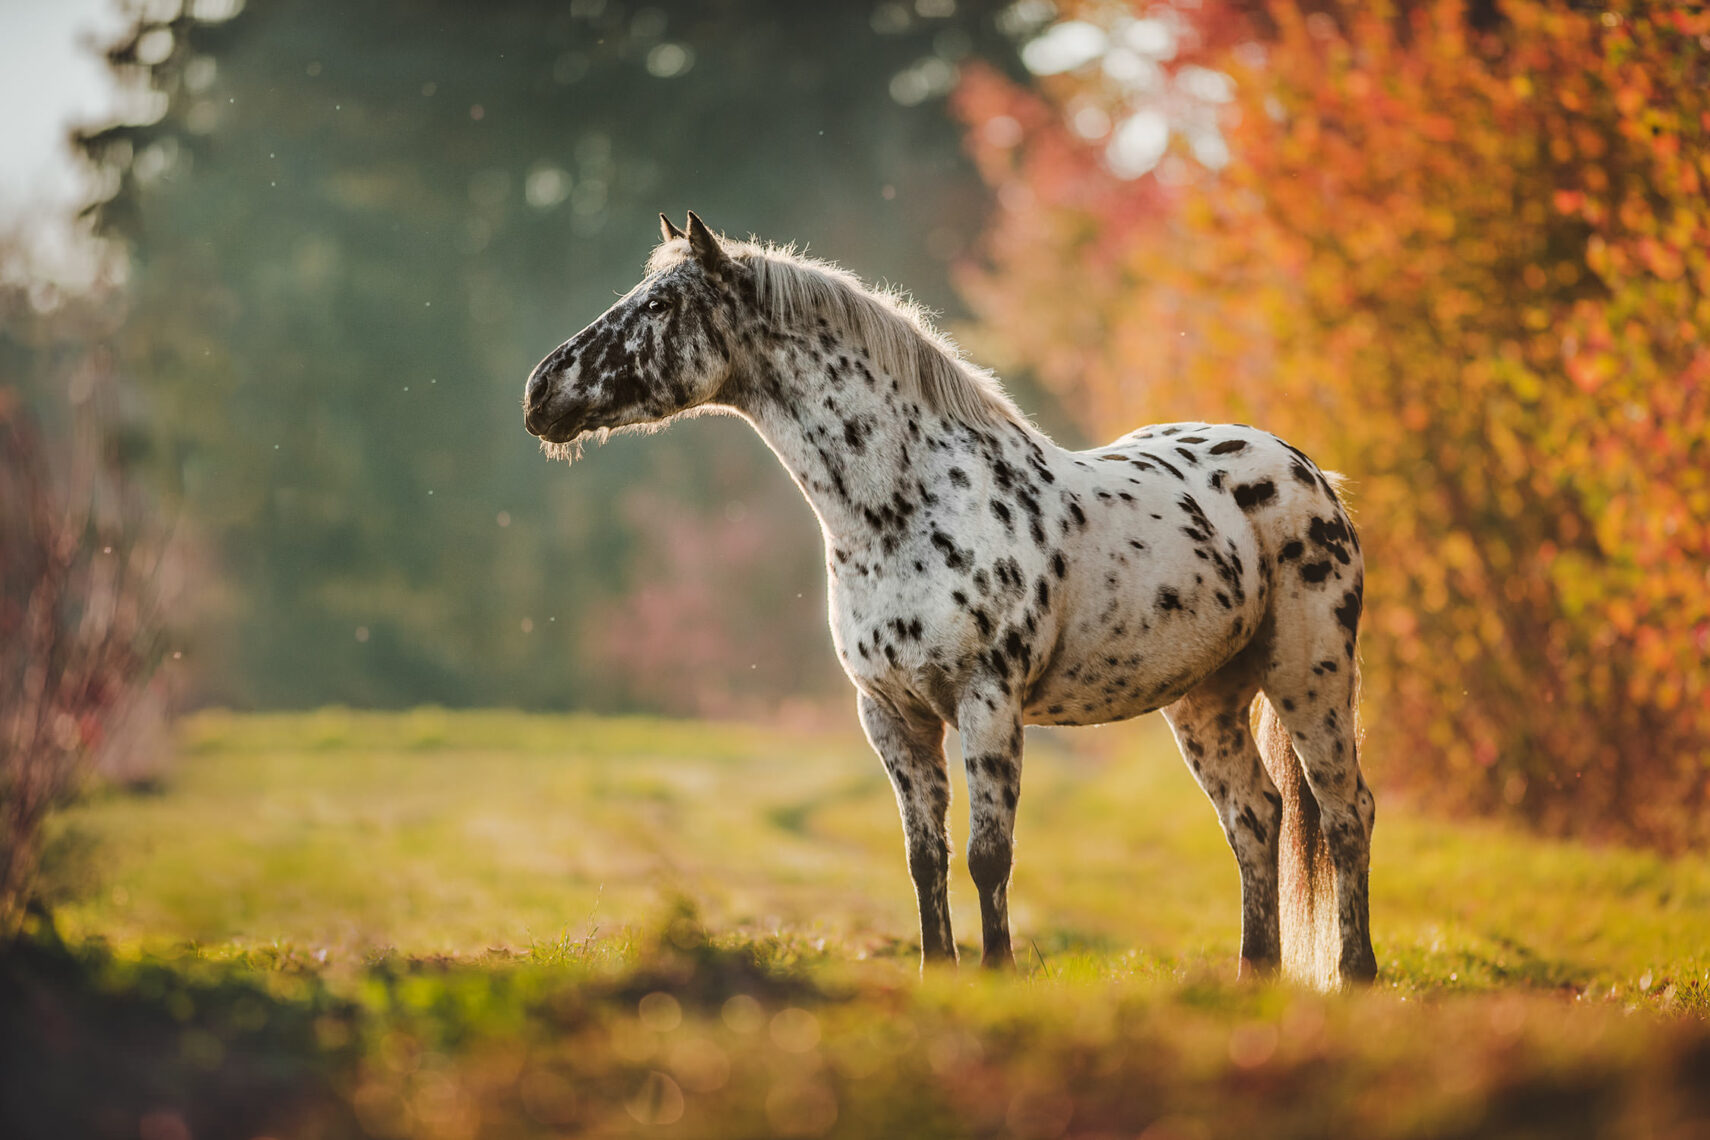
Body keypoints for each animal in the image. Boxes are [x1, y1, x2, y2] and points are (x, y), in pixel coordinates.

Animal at [523, 212, 1377, 988]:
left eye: (661, 305)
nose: (540, 393)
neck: (904, 508)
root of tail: (1307, 471)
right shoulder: (891, 713)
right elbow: (924, 856)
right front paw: (941, 972)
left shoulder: (986, 700)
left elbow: (987, 855)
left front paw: (997, 975)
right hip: (1205, 700)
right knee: (1255, 818)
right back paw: (1254, 978)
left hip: (1311, 679)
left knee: (1346, 814)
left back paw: (1357, 973)